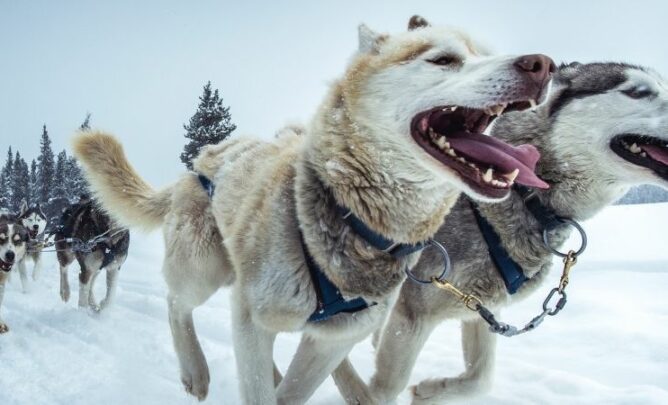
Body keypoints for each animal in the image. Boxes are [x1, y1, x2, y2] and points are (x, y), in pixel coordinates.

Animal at [334, 61, 668, 402]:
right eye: (637, 92)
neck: (523, 194)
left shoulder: (480, 308)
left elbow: (480, 379)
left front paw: (429, 390)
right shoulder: (413, 310)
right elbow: (386, 387)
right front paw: (359, 390)